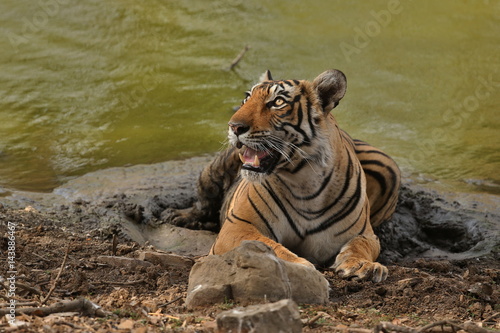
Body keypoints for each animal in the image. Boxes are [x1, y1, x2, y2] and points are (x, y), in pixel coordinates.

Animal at [168, 68, 402, 282]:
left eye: (277, 102)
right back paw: (180, 217)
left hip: (389, 166)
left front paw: (364, 265)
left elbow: (359, 246)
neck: (304, 182)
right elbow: (270, 246)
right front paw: (301, 266)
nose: (234, 126)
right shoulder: (238, 226)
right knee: (203, 202)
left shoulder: (364, 233)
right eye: (247, 98)